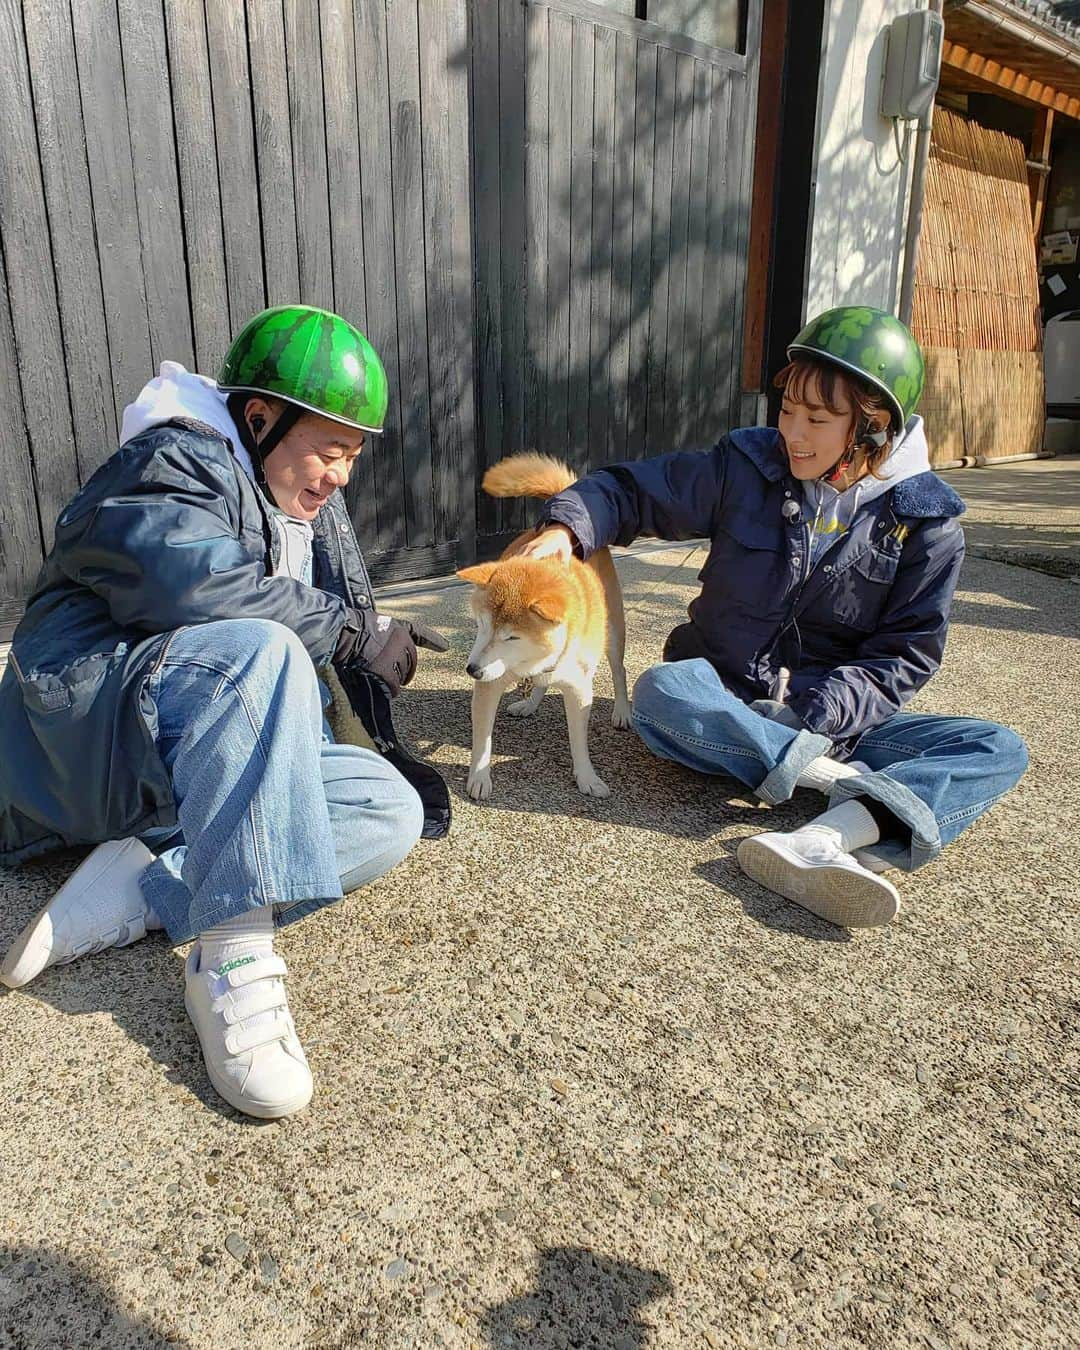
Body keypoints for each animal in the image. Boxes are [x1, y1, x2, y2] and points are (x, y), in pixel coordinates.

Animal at [459, 453, 631, 799]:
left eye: (511, 637)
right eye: (482, 625)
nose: (472, 670)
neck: (532, 658)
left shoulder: (579, 689)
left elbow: (578, 742)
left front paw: (587, 777)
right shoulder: (490, 683)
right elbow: (483, 740)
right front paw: (479, 777)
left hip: (613, 633)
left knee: (618, 671)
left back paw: (622, 710)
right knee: (541, 682)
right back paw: (530, 702)